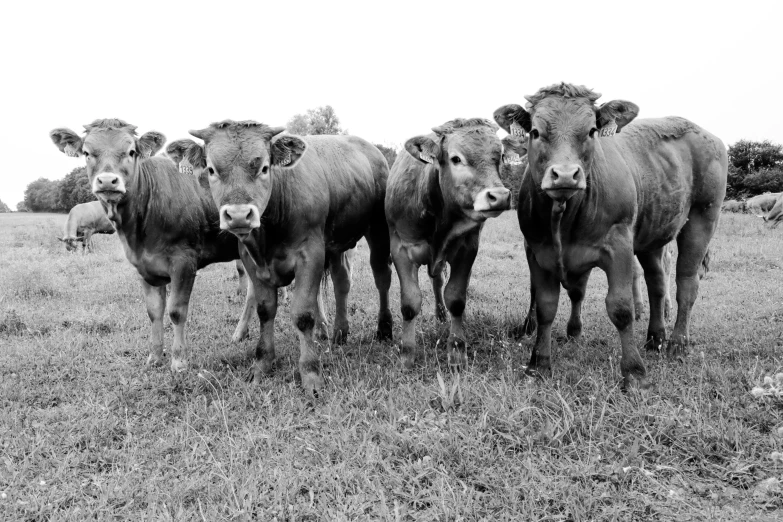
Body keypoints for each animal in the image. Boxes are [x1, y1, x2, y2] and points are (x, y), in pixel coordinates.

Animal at [50, 119, 258, 370]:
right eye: (87, 153)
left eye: (131, 151)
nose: (108, 180)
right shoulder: (144, 266)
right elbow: (154, 312)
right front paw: (155, 357)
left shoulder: (184, 262)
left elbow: (176, 311)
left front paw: (179, 361)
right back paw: (240, 333)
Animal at [184, 119, 392, 394]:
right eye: (211, 169)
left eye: (264, 167)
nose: (239, 215)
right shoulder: (250, 260)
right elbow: (265, 311)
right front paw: (262, 364)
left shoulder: (310, 255)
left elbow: (303, 315)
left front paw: (310, 373)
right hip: (337, 246)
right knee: (341, 283)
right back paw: (340, 332)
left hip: (377, 229)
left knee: (382, 277)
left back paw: (385, 329)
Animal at [384, 118, 520, 370]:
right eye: (456, 159)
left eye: (500, 156)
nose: (499, 196)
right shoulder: (401, 249)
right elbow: (410, 303)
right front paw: (407, 354)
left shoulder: (467, 248)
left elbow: (456, 299)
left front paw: (457, 351)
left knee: (439, 283)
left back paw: (442, 316)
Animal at [496, 82, 728, 386]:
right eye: (535, 132)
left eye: (591, 131)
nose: (566, 175)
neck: (564, 220)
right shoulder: (538, 251)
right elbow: (546, 305)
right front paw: (539, 364)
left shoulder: (618, 245)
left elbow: (620, 307)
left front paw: (634, 372)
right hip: (652, 234)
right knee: (657, 282)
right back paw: (655, 338)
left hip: (703, 217)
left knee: (686, 284)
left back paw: (678, 344)